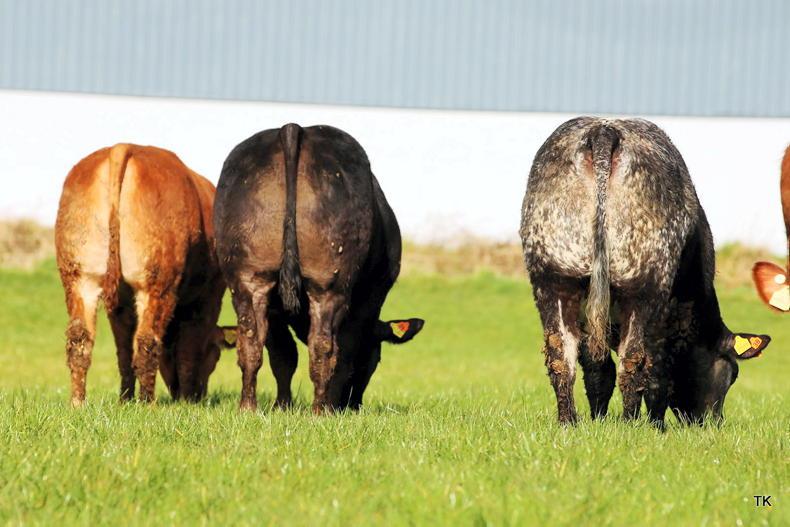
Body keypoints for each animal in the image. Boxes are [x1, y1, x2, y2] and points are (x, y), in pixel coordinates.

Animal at [55, 144, 236, 406]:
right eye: (216, 356)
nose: (199, 394)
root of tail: (122, 147)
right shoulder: (207, 299)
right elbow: (188, 352)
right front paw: (186, 401)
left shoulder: (120, 306)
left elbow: (123, 351)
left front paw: (125, 400)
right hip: (156, 285)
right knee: (147, 342)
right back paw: (147, 404)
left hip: (80, 279)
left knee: (81, 340)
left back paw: (78, 404)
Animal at [213, 123, 425, 414]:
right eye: (375, 358)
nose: (353, 405)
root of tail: (293, 128)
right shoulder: (370, 299)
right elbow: (345, 354)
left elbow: (283, 356)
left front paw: (282, 406)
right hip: (329, 284)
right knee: (324, 346)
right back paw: (319, 412)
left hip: (249, 279)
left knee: (251, 342)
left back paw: (248, 407)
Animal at [520, 117, 771, 428]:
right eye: (731, 375)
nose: (713, 423)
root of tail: (604, 130)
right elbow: (656, 375)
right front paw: (655, 425)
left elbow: (597, 369)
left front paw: (599, 419)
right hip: (643, 284)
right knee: (633, 360)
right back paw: (629, 422)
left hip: (553, 277)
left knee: (562, 357)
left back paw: (569, 421)